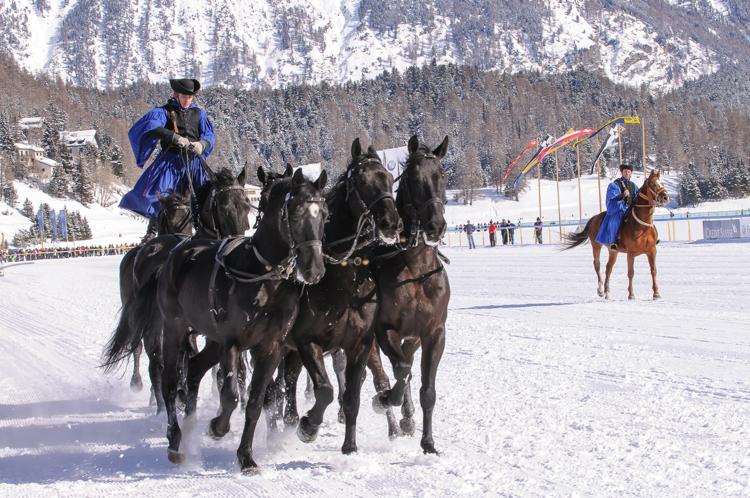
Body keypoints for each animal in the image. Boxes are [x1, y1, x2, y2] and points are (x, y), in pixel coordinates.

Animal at [137, 167, 328, 470]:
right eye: (296, 213)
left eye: (325, 214)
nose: (314, 269)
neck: (263, 277)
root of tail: (175, 252)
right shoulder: (232, 343)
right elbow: (229, 395)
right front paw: (217, 427)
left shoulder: (271, 347)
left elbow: (257, 401)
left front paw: (246, 456)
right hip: (175, 329)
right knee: (168, 382)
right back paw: (176, 440)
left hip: (211, 338)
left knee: (194, 368)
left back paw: (189, 424)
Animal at [278, 139, 406, 456]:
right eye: (361, 181)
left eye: (389, 177)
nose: (391, 223)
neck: (344, 281)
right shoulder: (305, 342)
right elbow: (325, 390)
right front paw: (309, 426)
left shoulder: (360, 344)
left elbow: (351, 396)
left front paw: (349, 446)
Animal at [564, 170, 668, 300]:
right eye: (654, 184)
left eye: (662, 183)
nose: (666, 197)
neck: (643, 226)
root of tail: (594, 218)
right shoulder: (631, 253)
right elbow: (630, 273)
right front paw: (631, 294)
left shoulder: (652, 250)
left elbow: (653, 270)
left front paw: (656, 293)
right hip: (596, 245)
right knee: (597, 264)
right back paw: (601, 290)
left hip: (613, 250)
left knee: (608, 267)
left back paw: (607, 292)